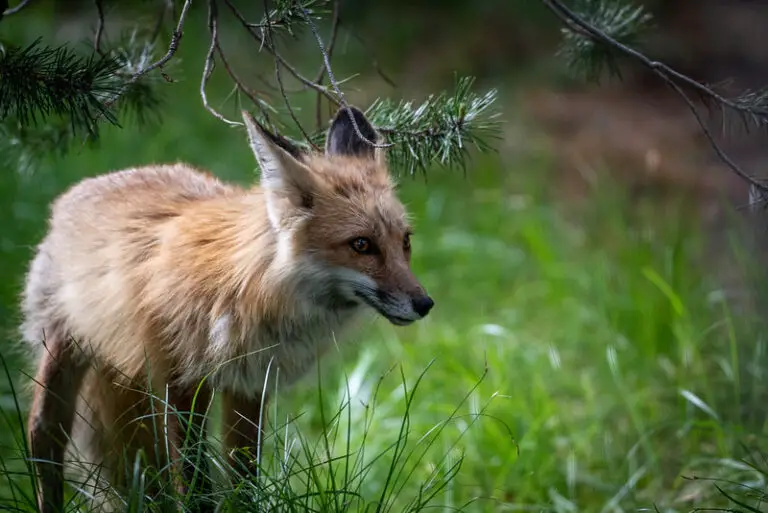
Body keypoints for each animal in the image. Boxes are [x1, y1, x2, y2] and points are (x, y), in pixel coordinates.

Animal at [19, 105, 432, 512]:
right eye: (361, 245)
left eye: (405, 241)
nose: (425, 304)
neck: (246, 289)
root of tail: (82, 188)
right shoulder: (180, 382)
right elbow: (195, 486)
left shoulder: (249, 385)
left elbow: (244, 483)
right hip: (64, 353)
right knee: (43, 437)